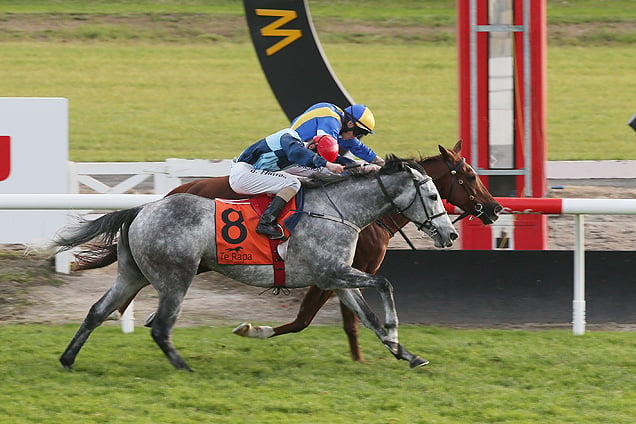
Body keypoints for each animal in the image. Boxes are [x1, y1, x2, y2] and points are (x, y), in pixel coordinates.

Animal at [76, 140, 502, 362]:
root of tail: (157, 200)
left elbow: (357, 315)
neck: (346, 209)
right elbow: (314, 317)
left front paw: (397, 351)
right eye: (468, 177)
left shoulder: (338, 275)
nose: (495, 208)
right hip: (183, 269)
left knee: (123, 302)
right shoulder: (330, 273)